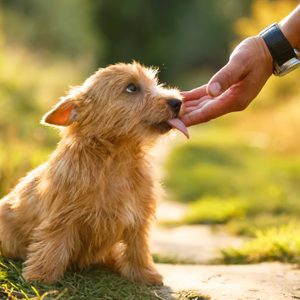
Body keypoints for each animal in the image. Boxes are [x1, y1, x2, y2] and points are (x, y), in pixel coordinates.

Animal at [0, 61, 189, 284]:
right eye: (131, 88)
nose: (177, 102)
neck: (116, 160)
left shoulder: (138, 217)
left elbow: (138, 248)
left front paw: (145, 274)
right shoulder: (62, 217)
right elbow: (52, 246)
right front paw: (41, 277)